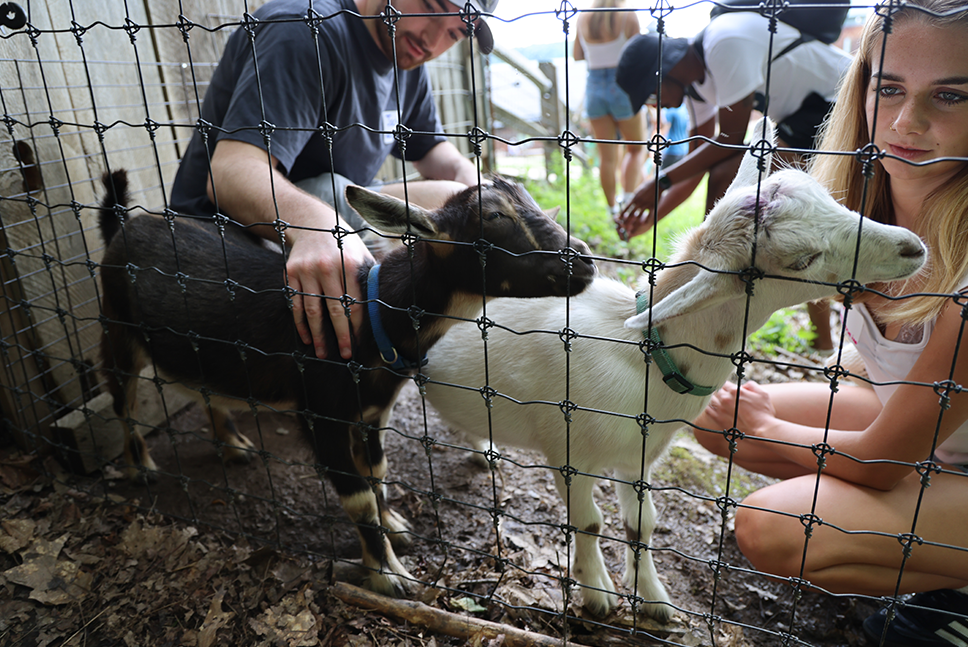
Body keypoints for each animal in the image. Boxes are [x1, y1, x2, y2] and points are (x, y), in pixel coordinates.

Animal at [100, 171, 596, 596]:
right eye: (494, 217)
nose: (585, 261)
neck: (371, 319)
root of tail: (121, 224)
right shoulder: (321, 415)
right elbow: (357, 497)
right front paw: (388, 575)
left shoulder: (374, 411)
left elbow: (376, 472)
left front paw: (394, 524)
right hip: (119, 329)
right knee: (122, 399)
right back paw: (140, 467)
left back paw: (233, 444)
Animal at [420, 120, 928, 624]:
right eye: (801, 261)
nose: (912, 248)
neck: (643, 359)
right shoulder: (569, 454)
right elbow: (589, 522)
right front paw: (598, 595)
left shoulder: (637, 458)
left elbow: (641, 524)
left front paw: (654, 600)